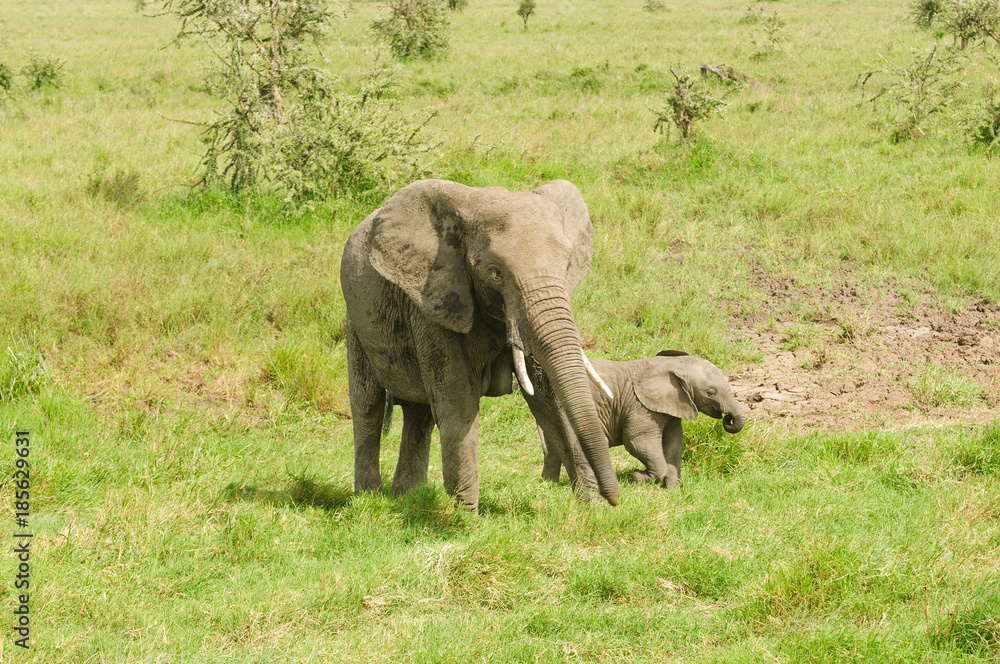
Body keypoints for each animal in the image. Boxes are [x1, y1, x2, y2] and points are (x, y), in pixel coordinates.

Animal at [339, 179, 621, 511]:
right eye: (495, 273)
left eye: (566, 266)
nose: (616, 498)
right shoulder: (434, 301)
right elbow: (459, 404)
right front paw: (464, 515)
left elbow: (550, 399)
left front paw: (592, 507)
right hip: (355, 320)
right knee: (367, 403)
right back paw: (368, 498)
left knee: (419, 414)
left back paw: (408, 497)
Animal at [523, 350, 745, 490]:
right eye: (711, 393)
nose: (728, 419)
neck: (672, 364)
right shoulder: (640, 407)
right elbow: (637, 442)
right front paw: (638, 477)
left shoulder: (670, 407)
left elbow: (674, 444)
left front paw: (673, 490)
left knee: (554, 448)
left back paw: (549, 486)